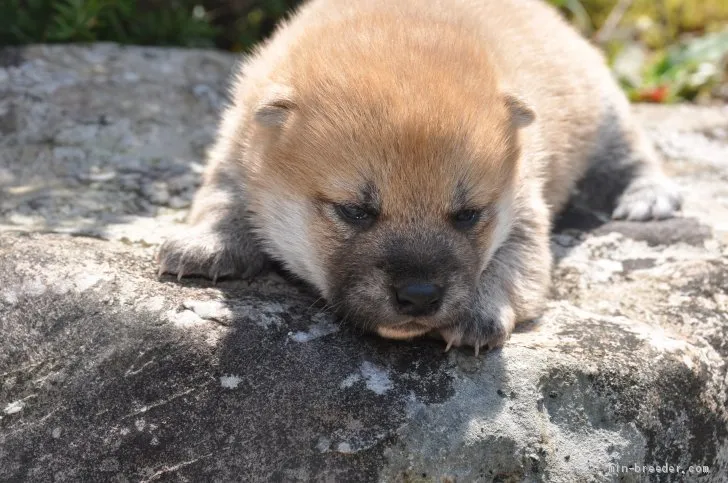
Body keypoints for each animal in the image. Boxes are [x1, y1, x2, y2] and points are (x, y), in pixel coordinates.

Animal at [155, 0, 684, 352]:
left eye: (468, 214)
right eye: (355, 211)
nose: (419, 296)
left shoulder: (525, 209)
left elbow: (514, 263)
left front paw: (481, 311)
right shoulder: (235, 147)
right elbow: (220, 199)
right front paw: (204, 244)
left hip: (606, 108)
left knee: (631, 153)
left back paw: (650, 197)